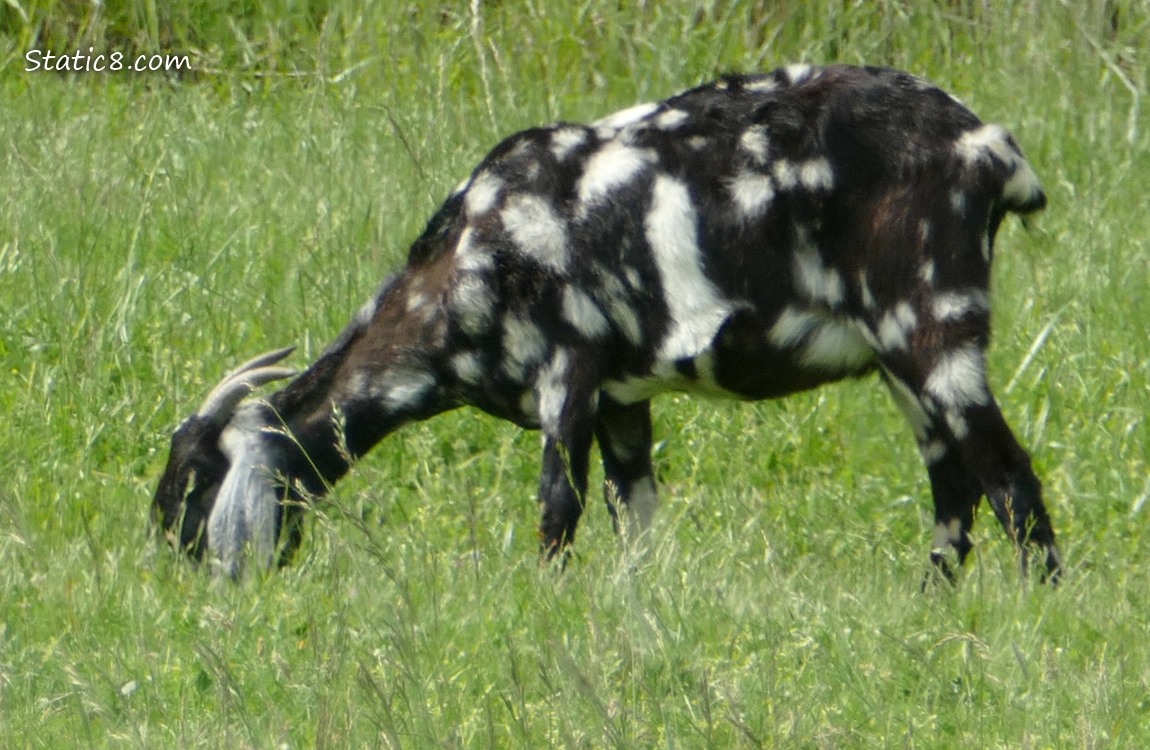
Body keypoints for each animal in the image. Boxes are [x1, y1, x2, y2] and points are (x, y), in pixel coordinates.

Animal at [150, 62, 1058, 579]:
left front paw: (543, 602)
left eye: (195, 478)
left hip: (933, 325)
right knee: (953, 490)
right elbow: (636, 518)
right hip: (897, 363)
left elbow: (559, 507)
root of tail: (990, 150)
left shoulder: (571, 369)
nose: (170, 569)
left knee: (1010, 479)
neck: (466, 260)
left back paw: (1032, 606)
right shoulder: (625, 398)